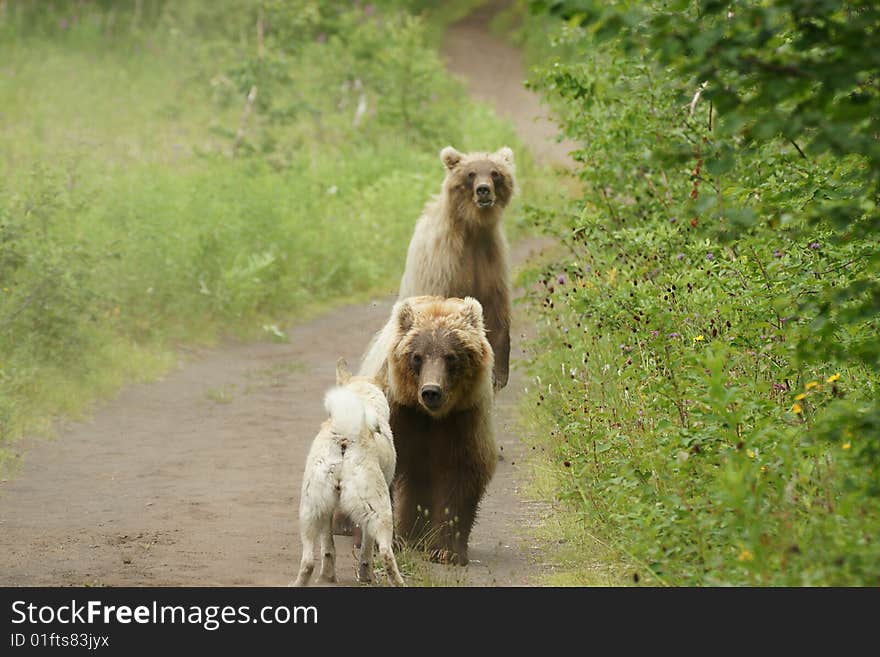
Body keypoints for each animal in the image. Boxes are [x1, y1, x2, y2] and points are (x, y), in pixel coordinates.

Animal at [296, 358, 406, 584]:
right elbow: (366, 549)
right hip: (380, 512)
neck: (362, 397)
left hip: (310, 512)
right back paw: (397, 581)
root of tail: (345, 435)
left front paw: (328, 575)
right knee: (385, 553)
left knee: (309, 561)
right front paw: (365, 576)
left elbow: (328, 547)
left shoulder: (327, 510)